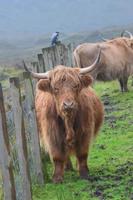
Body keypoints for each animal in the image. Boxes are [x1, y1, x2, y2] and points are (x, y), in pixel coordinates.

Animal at [23, 49, 103, 183]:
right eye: (56, 88)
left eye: (76, 85)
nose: (68, 105)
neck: (68, 120)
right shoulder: (52, 134)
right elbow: (57, 156)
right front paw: (57, 178)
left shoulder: (85, 132)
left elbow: (82, 154)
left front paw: (84, 173)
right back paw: (68, 167)